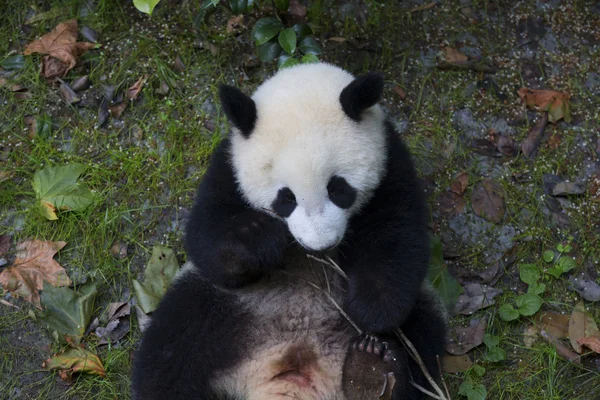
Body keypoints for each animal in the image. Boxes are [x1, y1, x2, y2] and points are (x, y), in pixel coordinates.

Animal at [132, 64, 450, 398]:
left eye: (338, 189)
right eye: (286, 198)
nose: (320, 244)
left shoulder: (391, 161)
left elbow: (396, 234)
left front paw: (369, 309)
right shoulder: (228, 166)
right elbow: (208, 239)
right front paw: (261, 238)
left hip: (417, 316)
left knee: (422, 337)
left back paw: (371, 369)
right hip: (225, 311)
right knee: (173, 346)